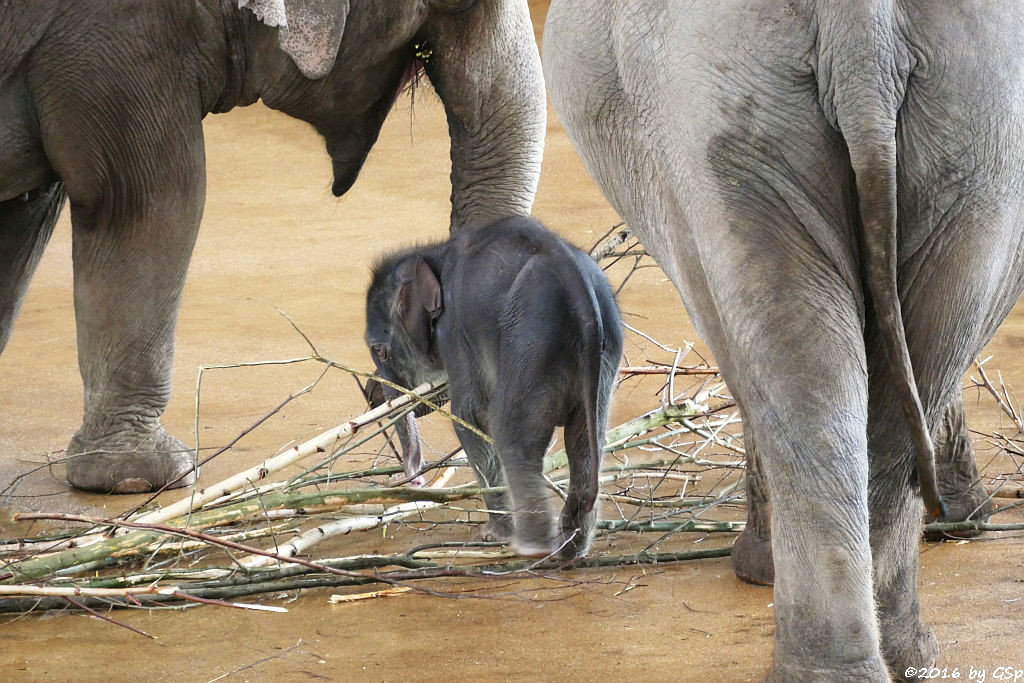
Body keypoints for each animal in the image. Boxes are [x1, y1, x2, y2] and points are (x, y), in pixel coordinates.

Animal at [0, 0, 548, 491]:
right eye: (456, 6)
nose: (378, 387)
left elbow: (26, 213)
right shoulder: (119, 39)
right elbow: (150, 199)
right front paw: (142, 478)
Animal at [368, 216, 622, 557]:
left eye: (379, 350)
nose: (416, 481)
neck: (435, 252)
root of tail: (579, 293)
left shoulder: (454, 330)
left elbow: (469, 416)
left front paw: (491, 535)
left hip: (530, 345)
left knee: (510, 434)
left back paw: (530, 545)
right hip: (603, 358)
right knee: (584, 439)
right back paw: (571, 546)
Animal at [544, 2, 1024, 679]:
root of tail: (865, 35)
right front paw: (964, 520)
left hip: (728, 117)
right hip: (971, 118)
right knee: (894, 363)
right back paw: (898, 656)